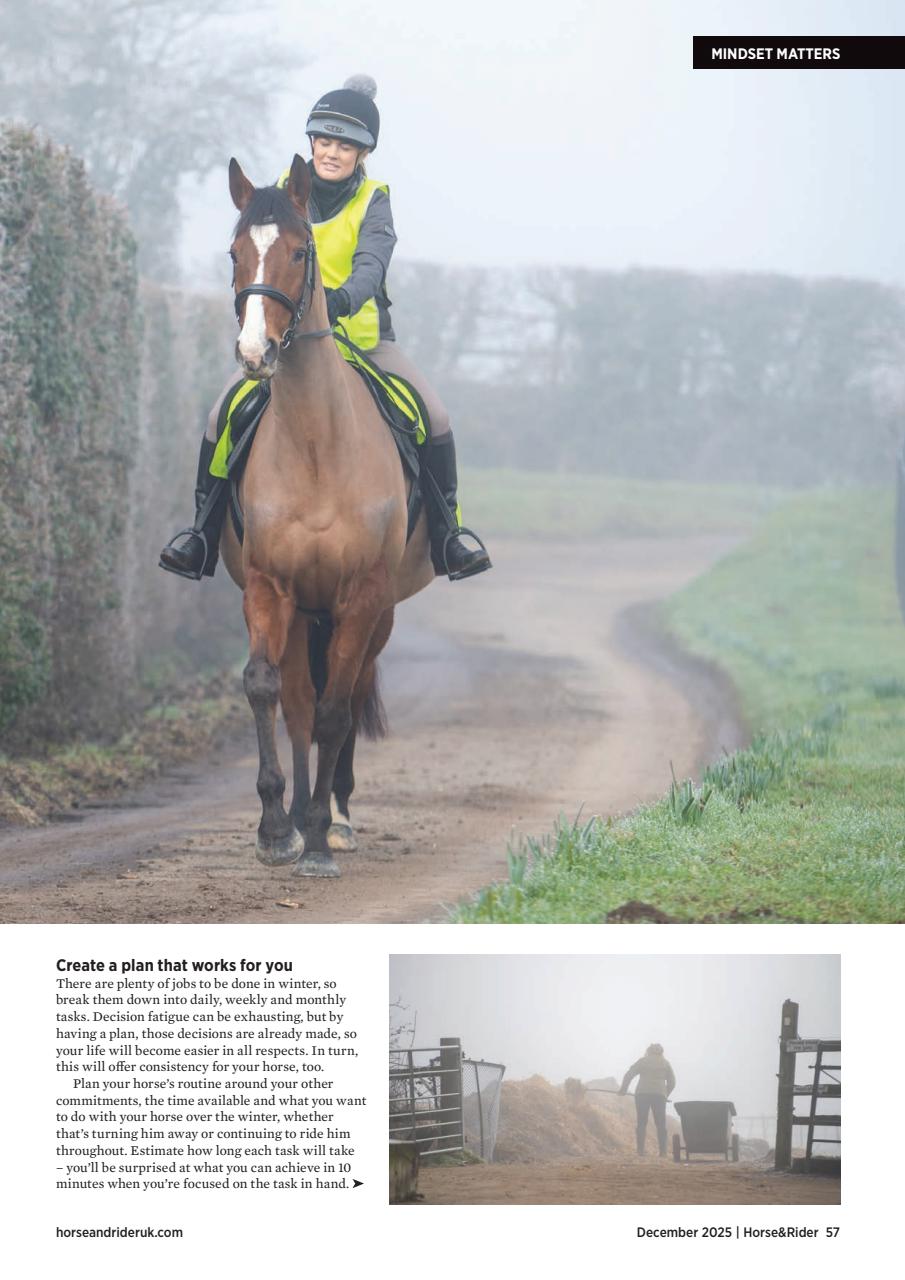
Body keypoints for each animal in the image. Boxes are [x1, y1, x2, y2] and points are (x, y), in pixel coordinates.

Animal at [219, 153, 434, 877]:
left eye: (297, 250)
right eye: (234, 252)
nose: (255, 353)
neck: (315, 443)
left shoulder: (360, 596)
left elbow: (340, 711)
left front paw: (315, 835)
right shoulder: (269, 587)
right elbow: (268, 691)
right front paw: (275, 828)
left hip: (376, 613)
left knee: (349, 694)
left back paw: (335, 818)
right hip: (302, 613)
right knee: (300, 703)